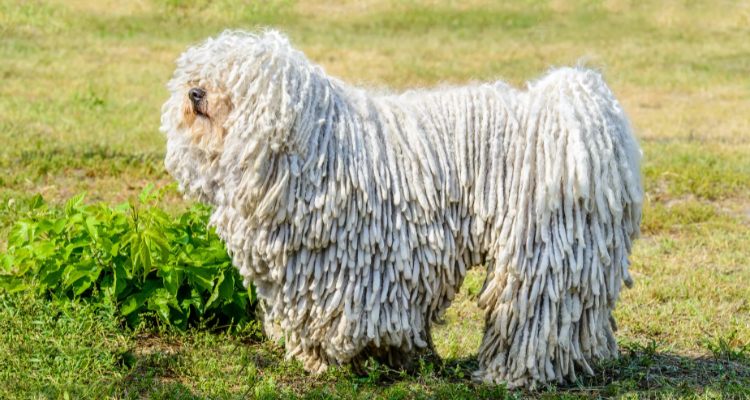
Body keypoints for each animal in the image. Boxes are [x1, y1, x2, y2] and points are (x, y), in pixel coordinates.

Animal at [162, 29, 644, 390]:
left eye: (236, 80)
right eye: (199, 72)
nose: (195, 92)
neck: (313, 147)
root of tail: (577, 114)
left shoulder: (357, 265)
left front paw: (351, 360)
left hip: (540, 247)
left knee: (533, 312)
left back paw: (511, 374)